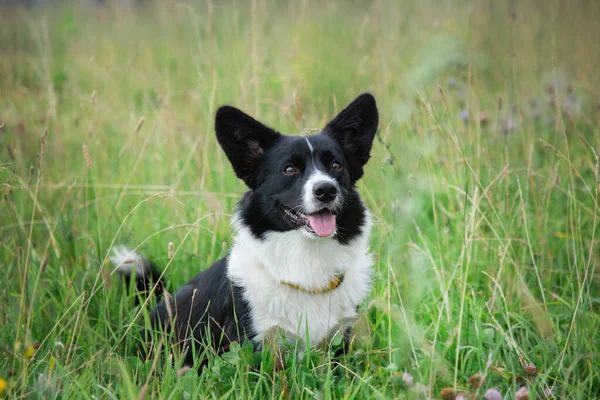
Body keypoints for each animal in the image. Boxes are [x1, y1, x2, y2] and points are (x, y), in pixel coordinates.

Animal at [111, 92, 380, 368]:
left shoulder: (338, 341)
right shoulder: (254, 343)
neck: (306, 263)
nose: (326, 190)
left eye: (336, 165)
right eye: (289, 169)